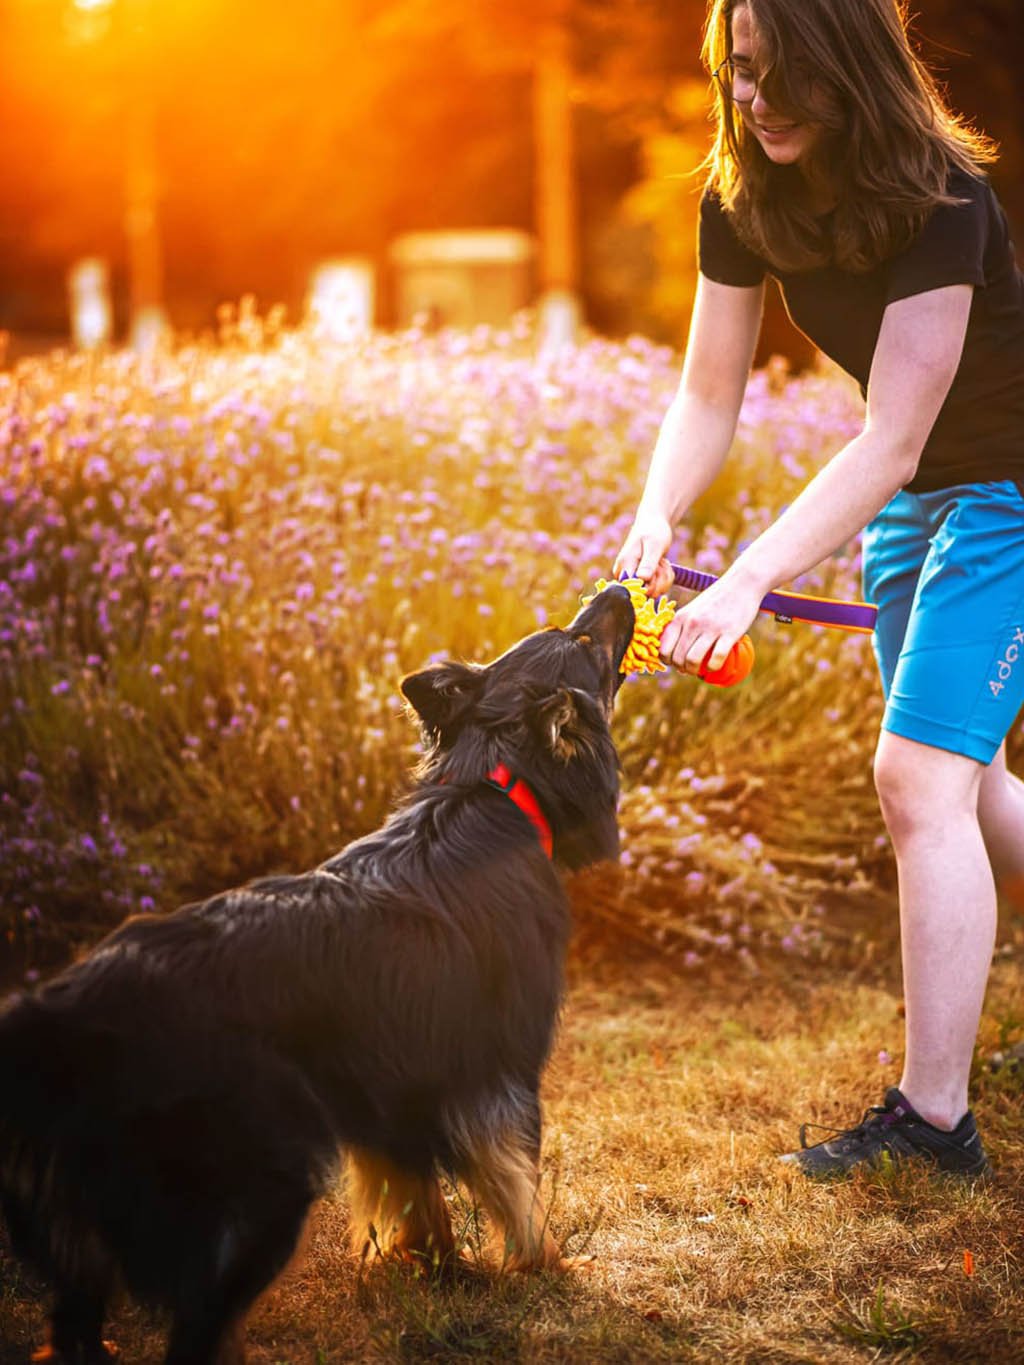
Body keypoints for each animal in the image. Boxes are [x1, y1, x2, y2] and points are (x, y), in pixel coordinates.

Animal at [0, 581, 638, 1359]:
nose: (619, 587)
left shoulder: (398, 1092)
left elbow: (419, 1196)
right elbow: (517, 1185)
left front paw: (437, 1268)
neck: (495, 782)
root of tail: (62, 1014)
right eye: (583, 642)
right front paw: (542, 1267)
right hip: (258, 1190)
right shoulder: (498, 1077)